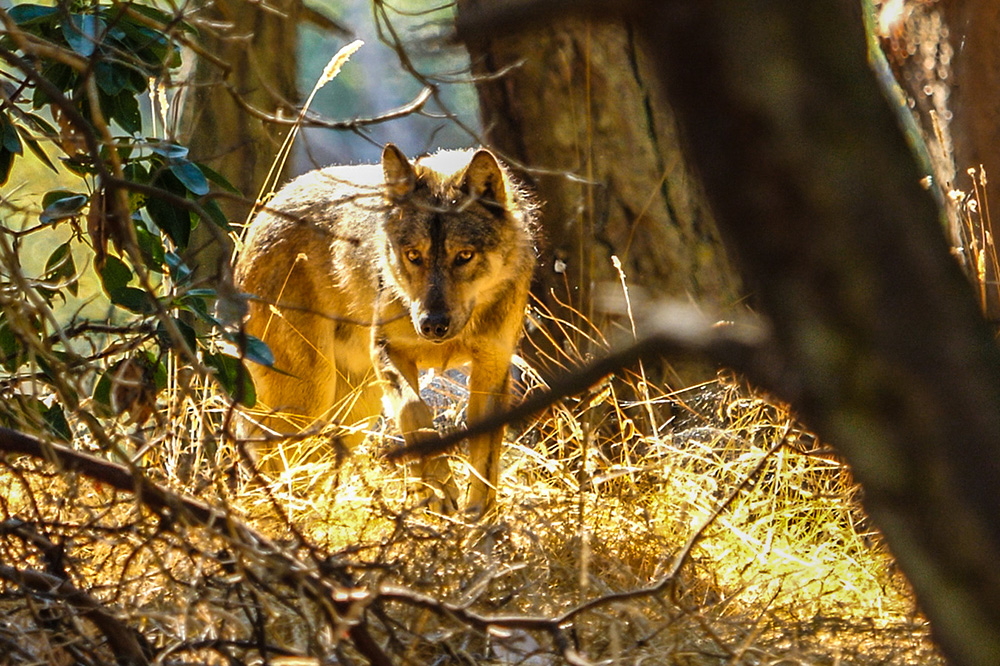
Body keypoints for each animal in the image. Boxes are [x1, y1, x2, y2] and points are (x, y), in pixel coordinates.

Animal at [232, 143, 540, 510]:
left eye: (464, 256)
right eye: (413, 255)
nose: (433, 325)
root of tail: (266, 209)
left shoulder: (492, 370)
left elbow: (485, 468)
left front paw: (477, 519)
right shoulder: (388, 351)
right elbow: (413, 411)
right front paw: (438, 490)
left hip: (355, 409)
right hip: (309, 399)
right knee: (272, 454)